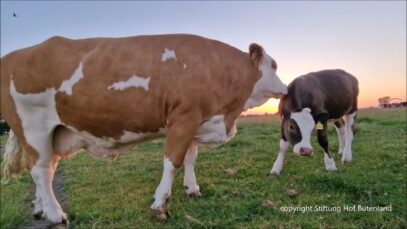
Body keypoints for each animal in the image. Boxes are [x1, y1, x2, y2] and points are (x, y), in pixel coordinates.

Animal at [0, 34, 286, 224]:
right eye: (274, 66)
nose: (286, 88)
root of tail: (13, 55)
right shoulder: (184, 117)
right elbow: (172, 162)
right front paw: (160, 204)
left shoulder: (196, 120)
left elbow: (190, 158)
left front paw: (192, 189)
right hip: (33, 128)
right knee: (41, 170)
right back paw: (55, 213)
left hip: (54, 132)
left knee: (45, 168)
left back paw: (40, 208)